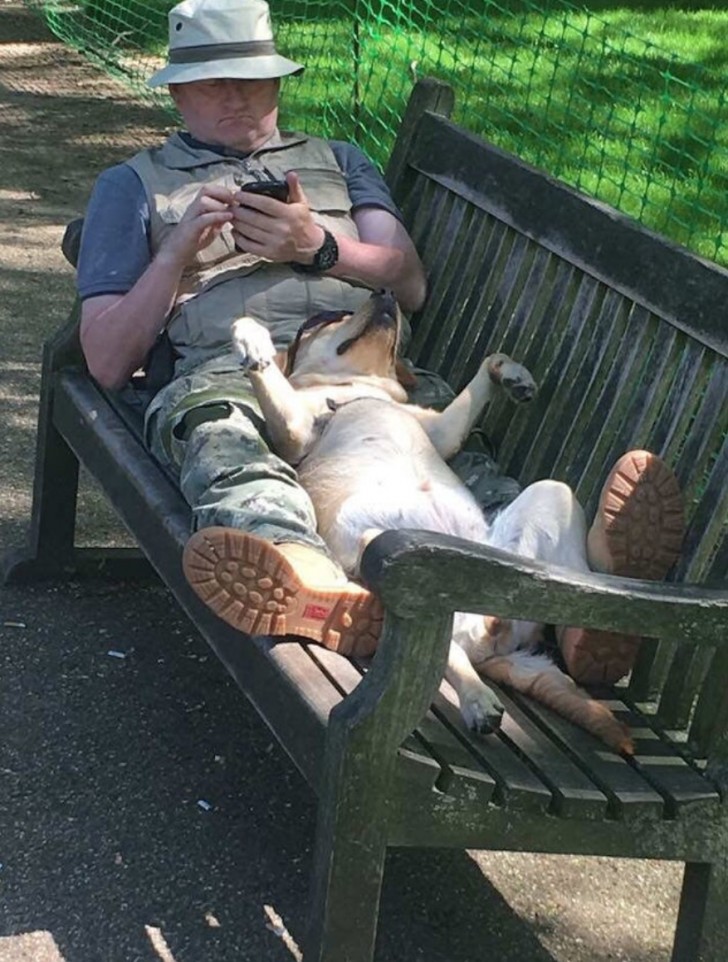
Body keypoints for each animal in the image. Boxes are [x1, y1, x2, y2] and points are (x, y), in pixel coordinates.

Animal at [232, 288, 632, 752]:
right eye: (329, 317)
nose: (385, 293)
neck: (355, 391)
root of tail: (490, 648)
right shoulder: (296, 433)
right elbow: (266, 365)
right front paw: (251, 340)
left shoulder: (441, 432)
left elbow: (485, 369)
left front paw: (512, 374)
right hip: (382, 557)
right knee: (446, 654)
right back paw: (478, 700)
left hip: (551, 497)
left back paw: (600, 636)